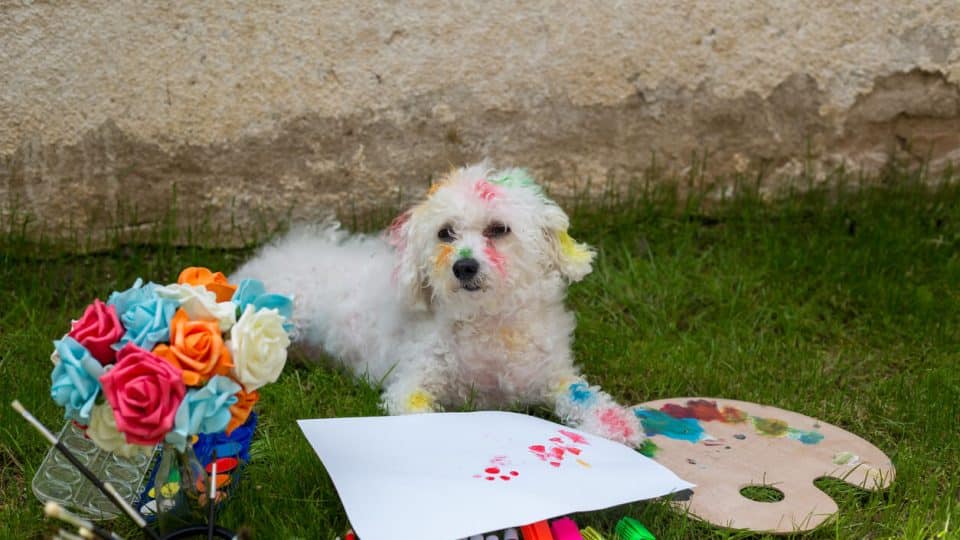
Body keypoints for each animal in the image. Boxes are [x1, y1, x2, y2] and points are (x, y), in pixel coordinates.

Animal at [231, 163, 644, 448]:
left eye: (499, 229)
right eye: (446, 232)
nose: (464, 266)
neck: (488, 324)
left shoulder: (550, 376)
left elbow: (585, 394)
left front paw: (618, 424)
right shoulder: (412, 382)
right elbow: (418, 411)